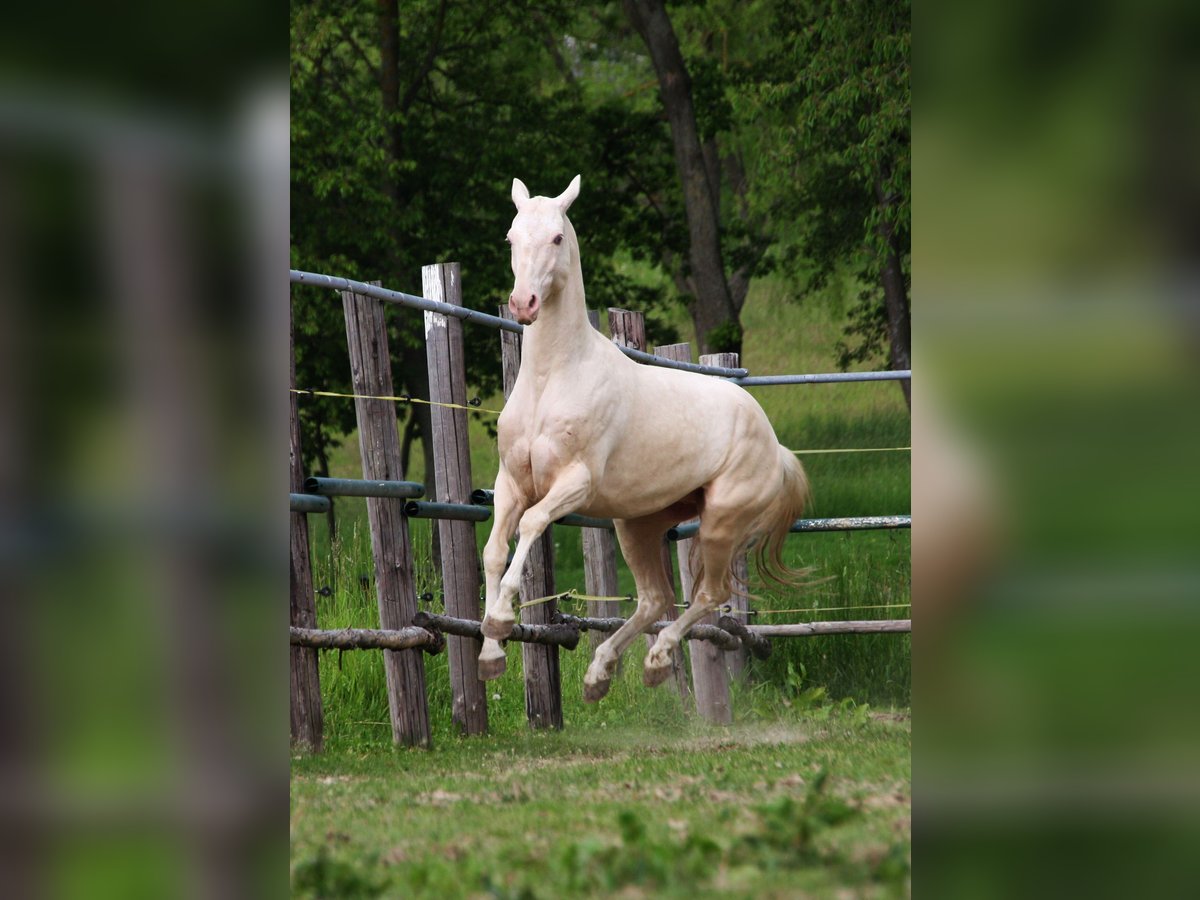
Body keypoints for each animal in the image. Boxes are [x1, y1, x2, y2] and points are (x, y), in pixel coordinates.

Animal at [475, 176, 806, 705]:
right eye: (510, 237)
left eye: (557, 238)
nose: (524, 304)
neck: (553, 377)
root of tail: (776, 446)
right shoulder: (511, 482)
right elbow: (493, 550)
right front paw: (491, 651)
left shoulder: (574, 484)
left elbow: (530, 525)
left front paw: (504, 618)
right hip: (638, 526)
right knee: (654, 600)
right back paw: (599, 674)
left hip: (720, 522)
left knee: (707, 596)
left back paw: (656, 661)